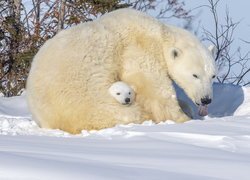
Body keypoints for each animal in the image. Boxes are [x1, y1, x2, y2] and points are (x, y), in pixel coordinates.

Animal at [26, 8, 216, 134]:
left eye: (213, 76)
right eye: (195, 75)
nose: (206, 99)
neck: (158, 33)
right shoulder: (138, 49)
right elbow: (154, 87)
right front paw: (184, 119)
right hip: (88, 97)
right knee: (123, 113)